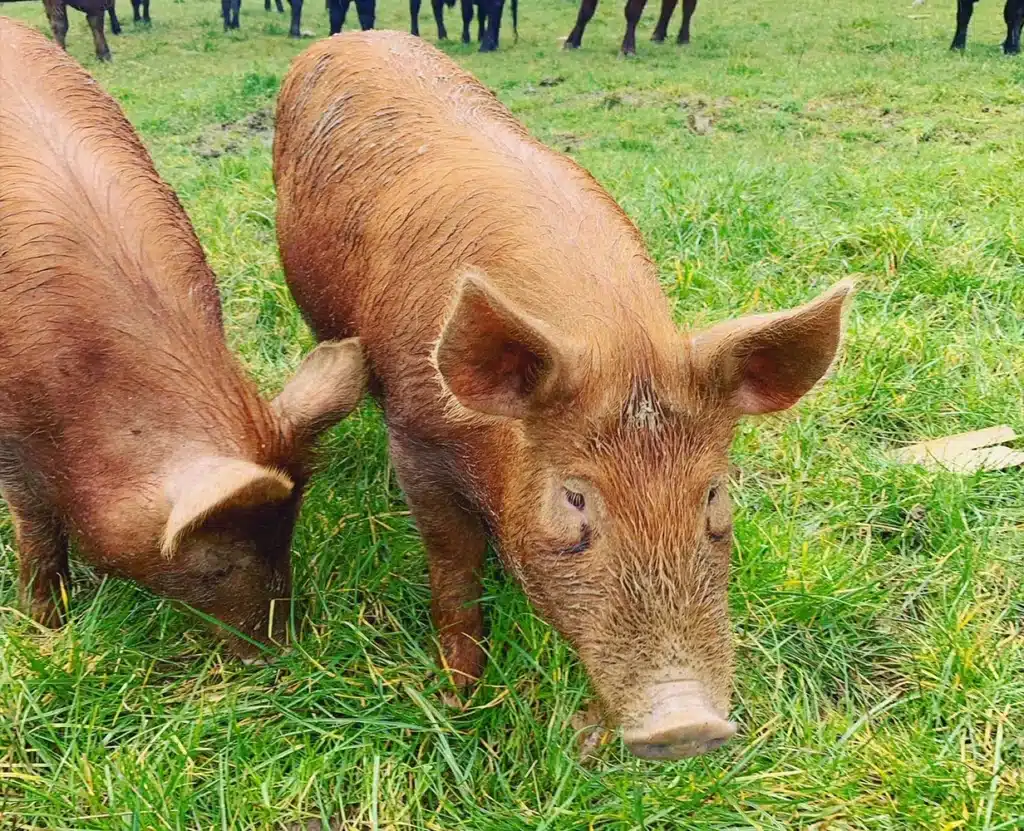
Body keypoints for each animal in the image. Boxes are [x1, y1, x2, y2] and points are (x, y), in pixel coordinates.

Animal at [273, 31, 852, 759]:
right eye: (574, 497)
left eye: (714, 494)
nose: (687, 723)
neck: (618, 342)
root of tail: (351, 35)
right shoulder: (415, 439)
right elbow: (453, 569)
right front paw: (457, 699)